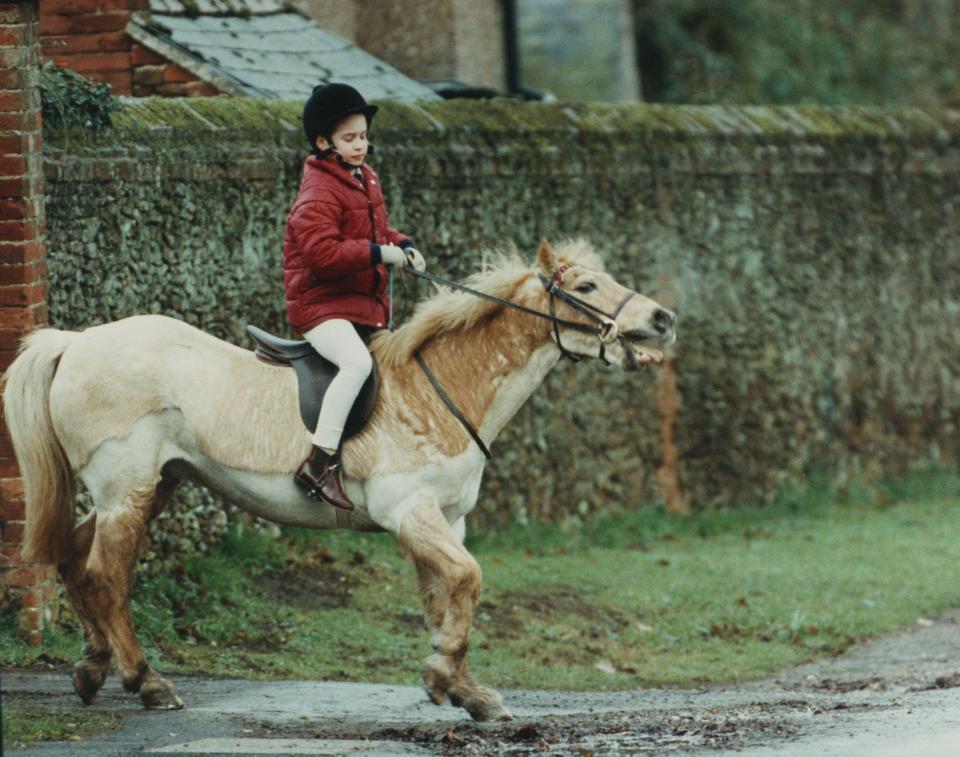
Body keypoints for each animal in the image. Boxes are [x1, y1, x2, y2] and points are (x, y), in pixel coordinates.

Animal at [1, 239, 676, 716]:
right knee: (106, 577)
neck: (441, 390)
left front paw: (461, 688)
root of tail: (76, 343)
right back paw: (147, 682)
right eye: (585, 285)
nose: (664, 319)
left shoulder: (446, 519)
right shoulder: (410, 512)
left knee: (75, 561)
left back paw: (92, 669)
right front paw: (447, 678)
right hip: (128, 489)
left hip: (153, 485)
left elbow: (444, 596)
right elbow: (466, 579)